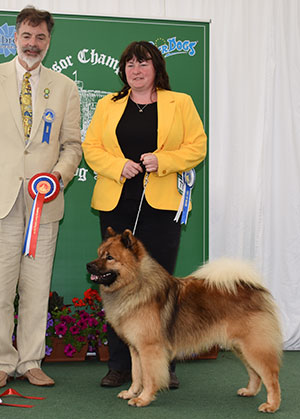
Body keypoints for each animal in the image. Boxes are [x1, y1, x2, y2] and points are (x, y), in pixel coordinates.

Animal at [86, 228, 282, 412]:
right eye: (98, 253)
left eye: (109, 257)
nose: (88, 265)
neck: (135, 284)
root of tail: (252, 288)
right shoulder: (135, 349)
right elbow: (136, 374)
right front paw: (131, 393)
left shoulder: (149, 349)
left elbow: (148, 377)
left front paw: (143, 399)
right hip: (241, 347)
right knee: (255, 373)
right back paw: (249, 391)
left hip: (254, 347)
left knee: (271, 376)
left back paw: (272, 405)